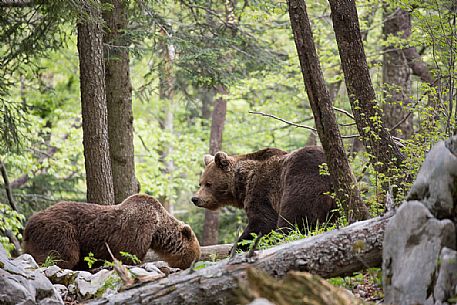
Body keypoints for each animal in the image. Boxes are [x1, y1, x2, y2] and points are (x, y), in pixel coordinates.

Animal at [23, 194, 200, 270]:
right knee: (62, 255)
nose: (192, 265)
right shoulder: (138, 229)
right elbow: (129, 254)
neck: (157, 229)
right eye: (195, 256)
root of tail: (29, 224)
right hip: (60, 231)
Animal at [191, 145, 336, 245]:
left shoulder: (261, 191)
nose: (195, 199)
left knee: (293, 219)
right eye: (200, 183)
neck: (242, 182)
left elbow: (263, 222)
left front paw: (238, 246)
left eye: (208, 184)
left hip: (301, 180)